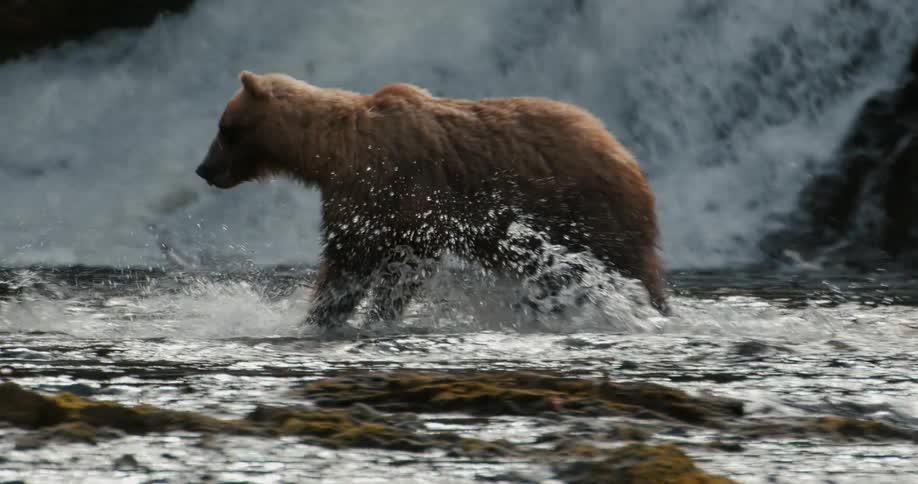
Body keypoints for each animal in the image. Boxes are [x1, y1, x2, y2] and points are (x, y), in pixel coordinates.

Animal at [195, 71, 669, 327]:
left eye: (225, 128)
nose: (204, 169)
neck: (330, 153)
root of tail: (623, 152)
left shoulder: (400, 191)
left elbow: (386, 263)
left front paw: (356, 315)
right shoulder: (359, 201)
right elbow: (351, 263)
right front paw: (326, 316)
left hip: (589, 211)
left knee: (629, 267)